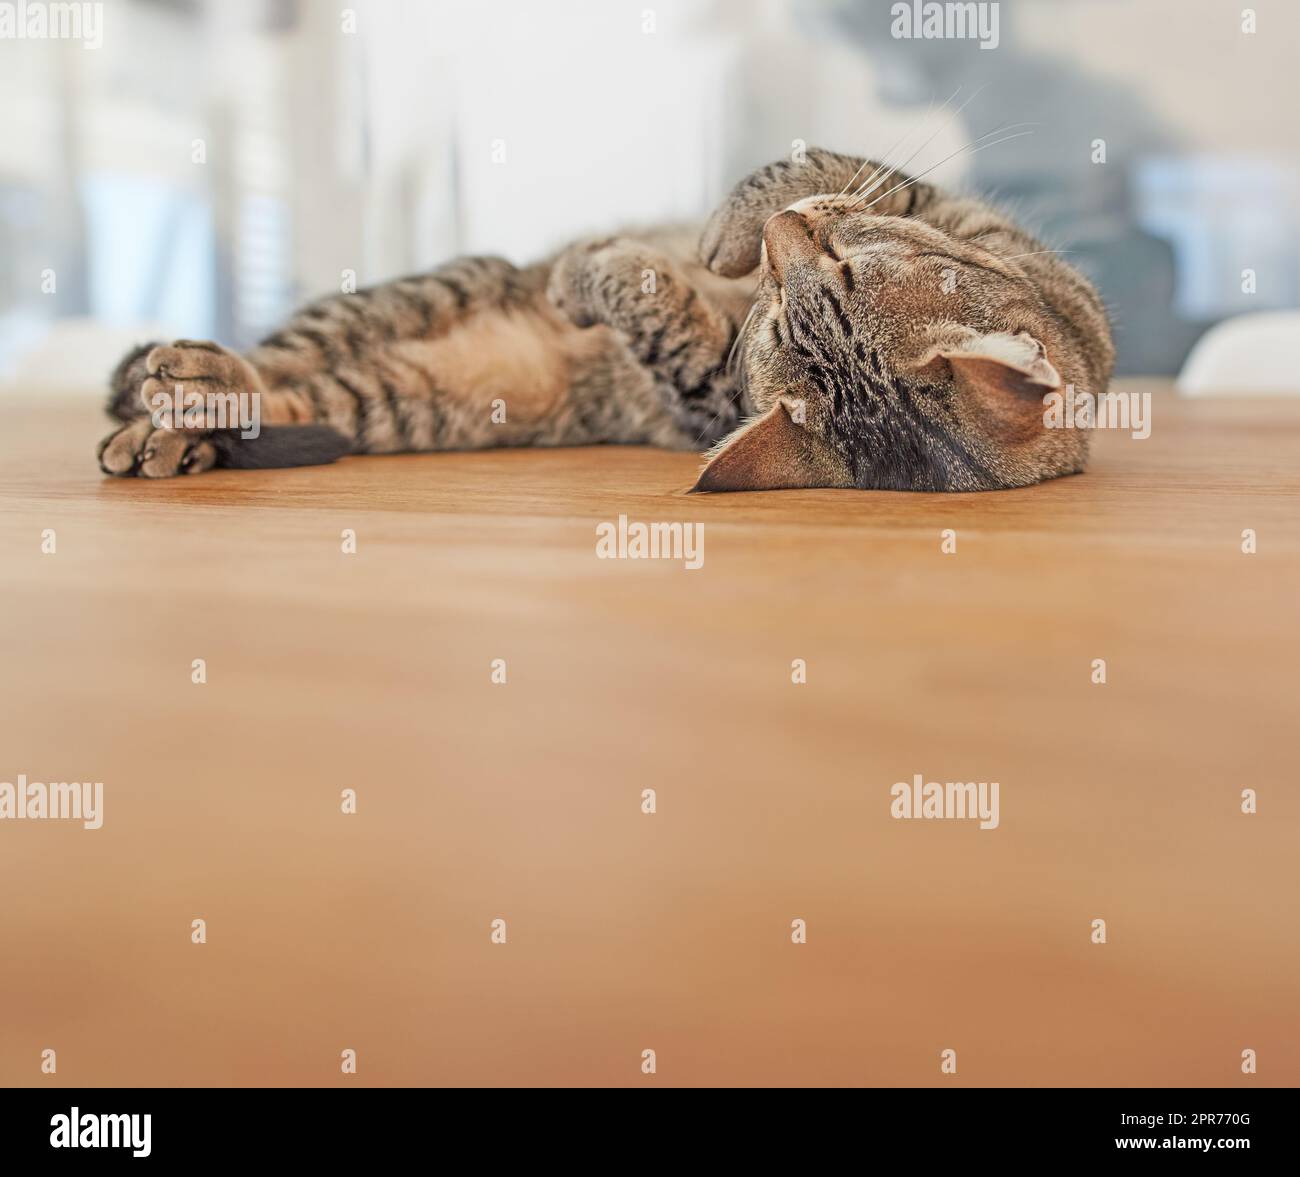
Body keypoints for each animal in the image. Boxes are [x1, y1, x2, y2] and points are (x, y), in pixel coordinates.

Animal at [96, 148, 1112, 491]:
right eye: (787, 321)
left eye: (835, 277)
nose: (774, 242)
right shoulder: (945, 207)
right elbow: (824, 163)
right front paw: (723, 230)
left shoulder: (703, 389)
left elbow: (655, 304)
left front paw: (613, 272)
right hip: (409, 297)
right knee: (263, 363)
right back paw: (166, 414)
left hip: (387, 399)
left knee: (290, 395)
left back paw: (182, 422)